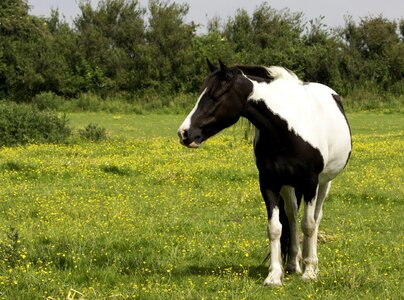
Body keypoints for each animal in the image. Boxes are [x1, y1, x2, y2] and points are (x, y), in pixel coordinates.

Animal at [177, 59, 350, 286]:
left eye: (215, 95)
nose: (184, 133)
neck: (288, 131)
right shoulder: (269, 183)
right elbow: (275, 228)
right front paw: (274, 275)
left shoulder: (310, 182)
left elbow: (309, 224)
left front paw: (310, 272)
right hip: (288, 186)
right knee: (292, 217)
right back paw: (294, 264)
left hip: (324, 183)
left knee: (315, 217)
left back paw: (310, 263)